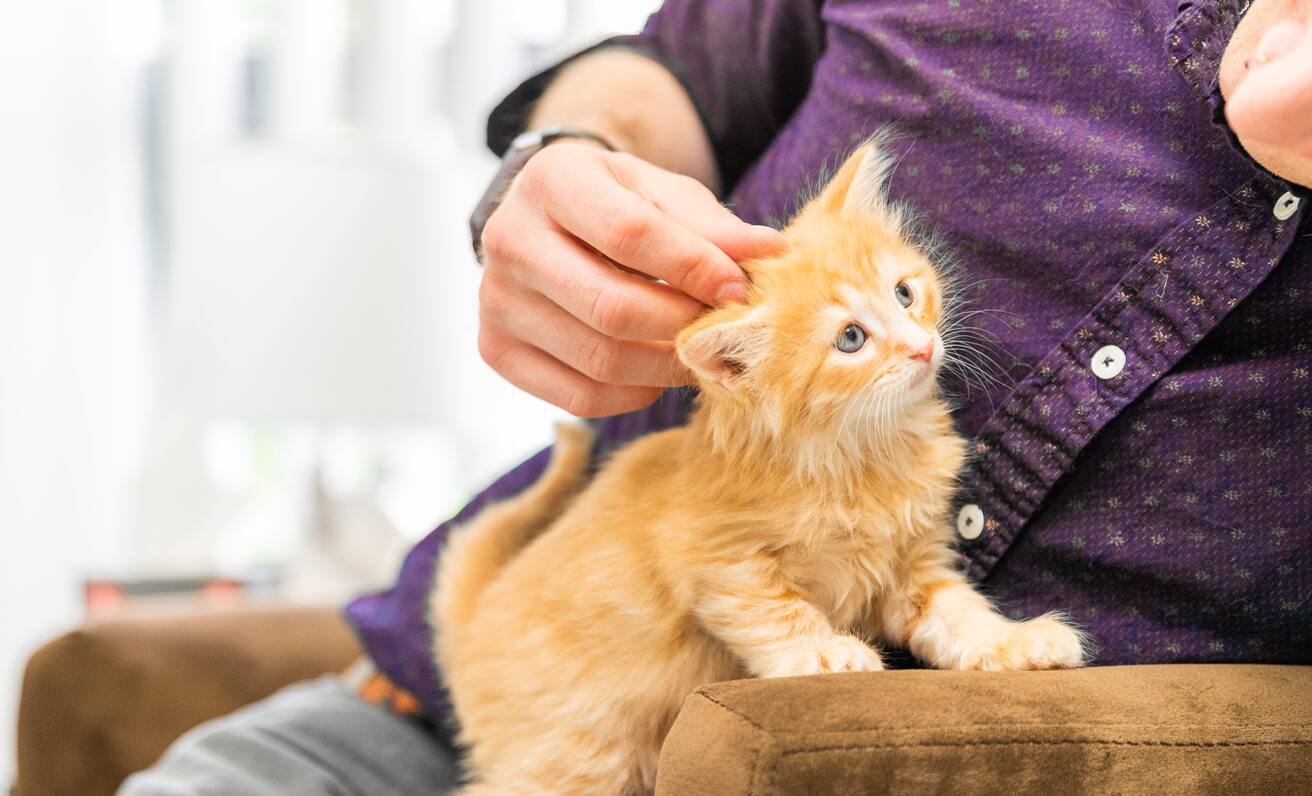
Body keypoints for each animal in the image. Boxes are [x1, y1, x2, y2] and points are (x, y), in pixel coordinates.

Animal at [430, 140, 1086, 792]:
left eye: (904, 293)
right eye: (851, 338)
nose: (922, 348)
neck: (861, 455)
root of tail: (475, 632)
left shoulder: (915, 563)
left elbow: (957, 612)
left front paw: (1012, 642)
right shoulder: (717, 559)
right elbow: (775, 611)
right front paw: (823, 653)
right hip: (575, 763)